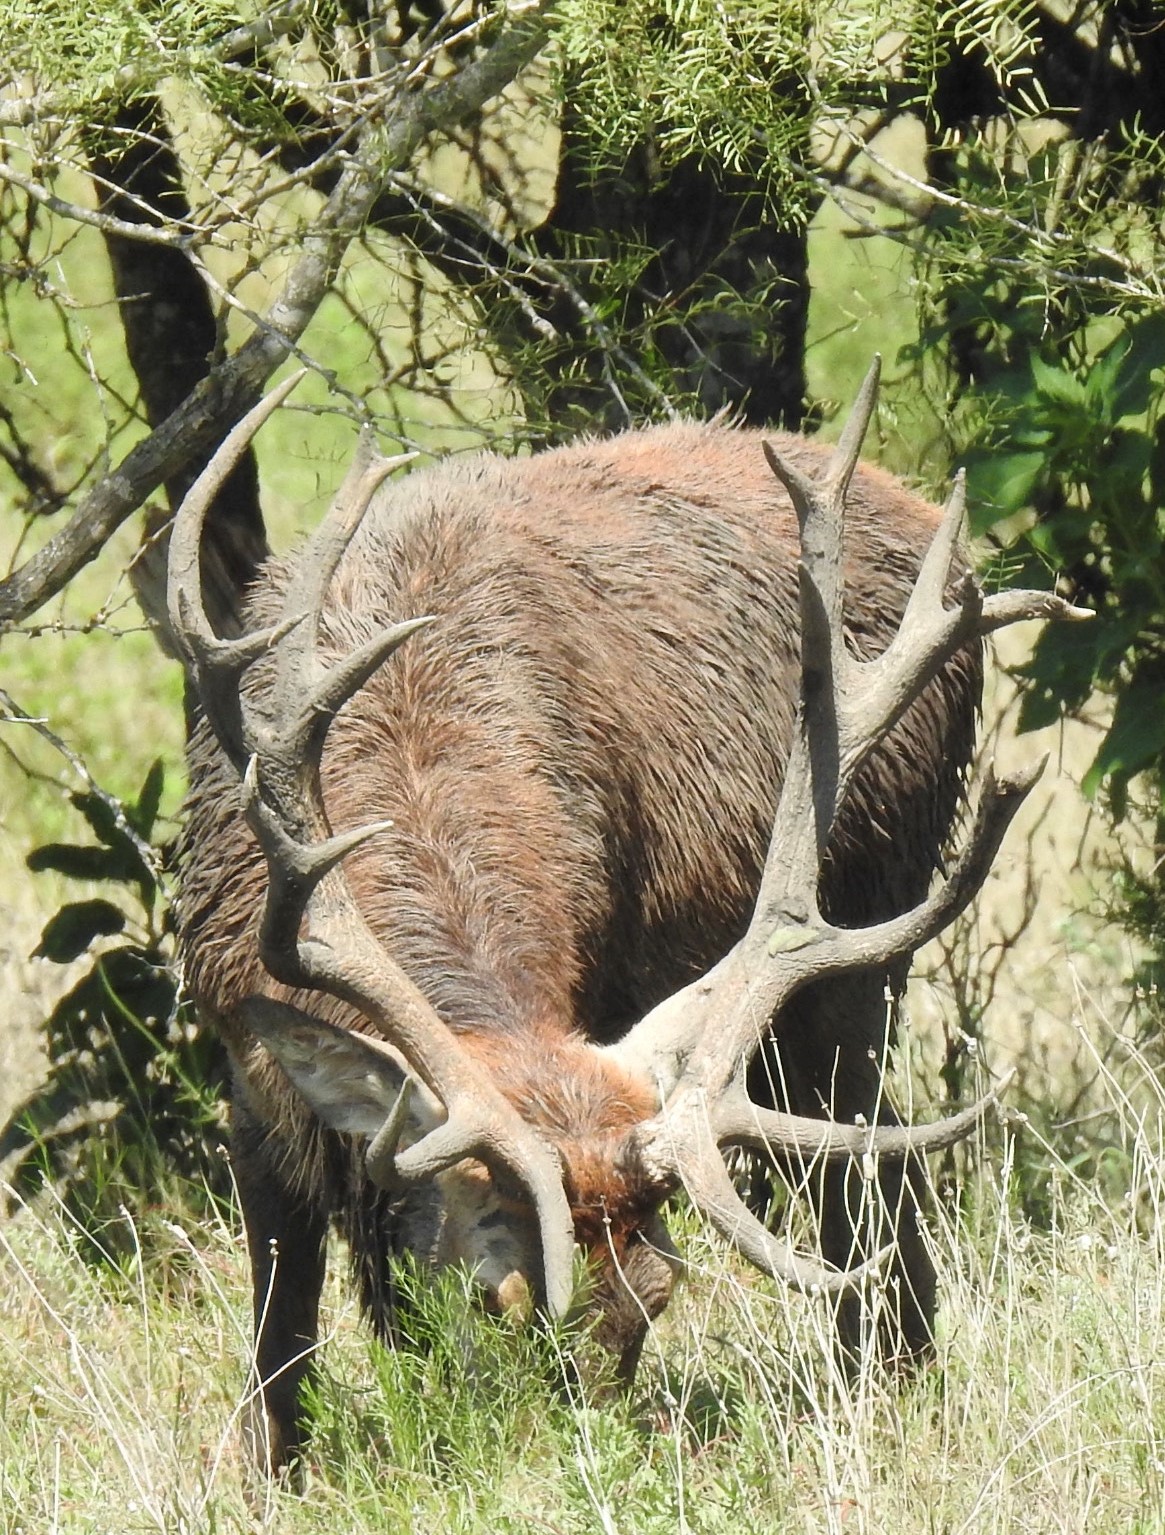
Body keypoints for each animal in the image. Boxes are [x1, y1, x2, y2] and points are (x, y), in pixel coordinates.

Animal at [168, 356, 1080, 1461]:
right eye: (494, 1298)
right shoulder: (246, 1062)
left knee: (861, 1161)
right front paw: (278, 1472)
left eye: (656, 1296)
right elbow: (282, 1340)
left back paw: (887, 1376)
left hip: (868, 915)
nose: (580, 1468)